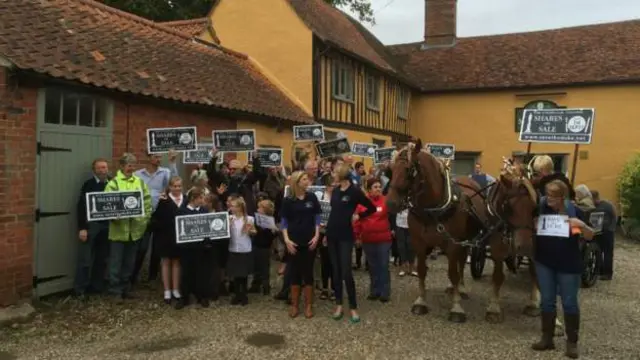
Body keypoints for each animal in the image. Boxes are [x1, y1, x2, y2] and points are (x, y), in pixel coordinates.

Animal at [384, 139, 484, 322]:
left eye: (409, 170)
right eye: (390, 170)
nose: (390, 204)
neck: (432, 209)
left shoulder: (453, 244)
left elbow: (453, 273)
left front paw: (456, 307)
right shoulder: (419, 243)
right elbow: (422, 271)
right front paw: (421, 301)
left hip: (465, 242)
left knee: (460, 264)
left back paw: (461, 289)